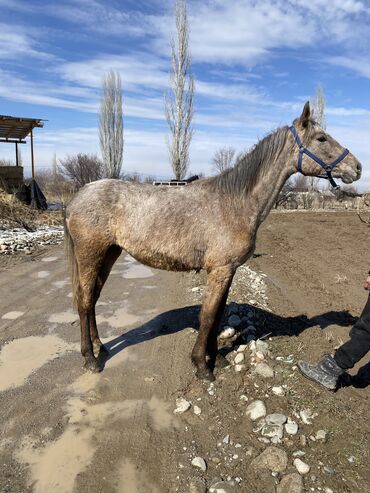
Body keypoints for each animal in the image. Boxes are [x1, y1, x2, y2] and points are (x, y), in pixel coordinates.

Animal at [64, 102, 362, 380]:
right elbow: (208, 316)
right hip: (90, 254)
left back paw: (99, 346)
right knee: (85, 301)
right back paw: (90, 358)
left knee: (93, 298)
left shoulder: (229, 270)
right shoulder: (219, 270)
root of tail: (79, 195)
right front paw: (201, 365)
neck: (236, 202)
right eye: (321, 138)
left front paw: (216, 358)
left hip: (109, 254)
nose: (357, 167)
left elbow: (218, 316)